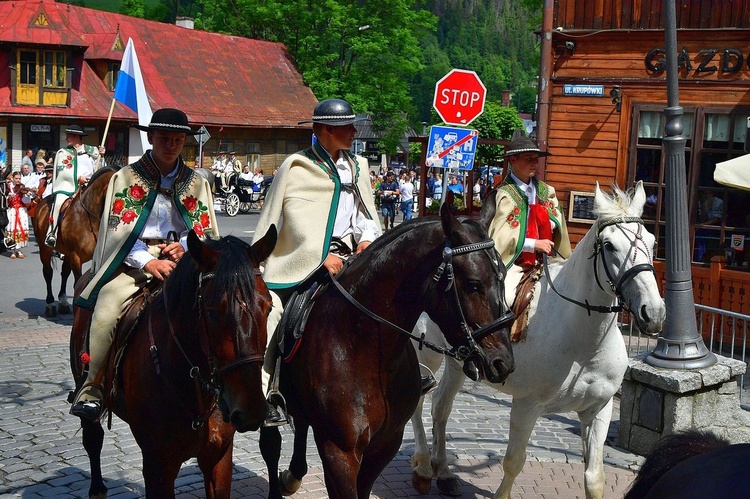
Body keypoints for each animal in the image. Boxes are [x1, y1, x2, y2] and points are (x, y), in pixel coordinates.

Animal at [32, 168, 117, 316]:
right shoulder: (76, 257)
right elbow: (78, 283)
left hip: (66, 253)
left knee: (64, 273)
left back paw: (63, 302)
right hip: (45, 249)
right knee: (48, 273)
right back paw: (50, 304)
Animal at [70, 229, 276, 498]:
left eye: (269, 307)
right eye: (212, 312)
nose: (251, 410)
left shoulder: (218, 457)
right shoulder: (158, 466)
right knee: (93, 438)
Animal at [260, 197, 516, 498]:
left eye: (504, 276)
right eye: (474, 284)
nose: (503, 362)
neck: (361, 346)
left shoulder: (384, 446)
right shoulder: (340, 454)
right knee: (271, 444)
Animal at [414, 183, 668, 499]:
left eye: (653, 241)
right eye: (609, 245)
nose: (653, 312)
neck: (584, 345)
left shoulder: (599, 409)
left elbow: (595, 478)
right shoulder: (527, 406)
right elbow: (513, 462)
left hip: (458, 363)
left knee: (440, 406)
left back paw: (445, 472)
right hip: (425, 356)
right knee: (417, 404)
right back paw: (423, 467)